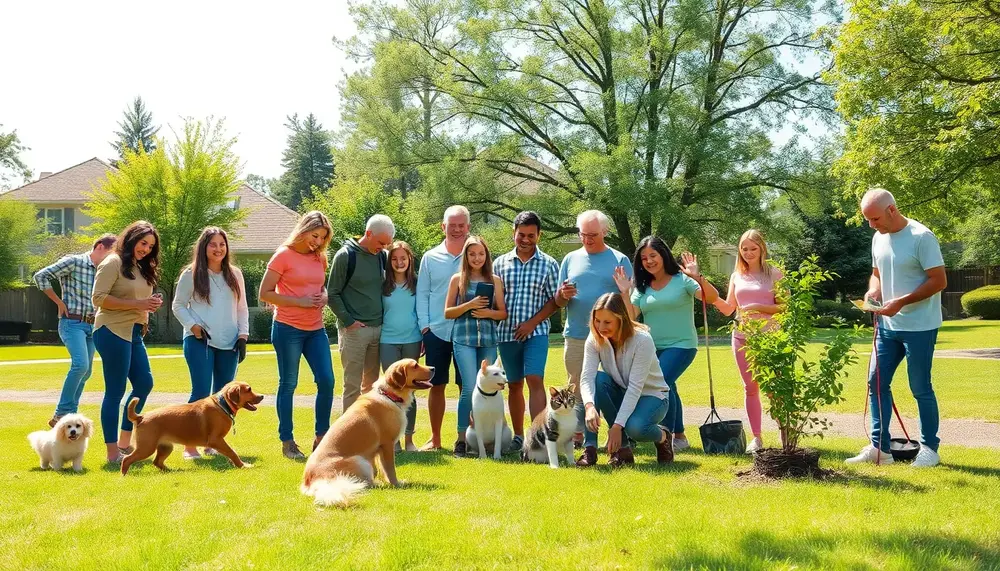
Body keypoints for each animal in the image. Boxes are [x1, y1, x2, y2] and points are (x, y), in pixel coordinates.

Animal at [120, 382, 266, 476]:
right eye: (248, 389)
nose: (262, 396)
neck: (223, 404)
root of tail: (141, 416)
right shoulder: (216, 440)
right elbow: (232, 452)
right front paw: (242, 465)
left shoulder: (219, 442)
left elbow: (230, 453)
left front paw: (236, 464)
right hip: (146, 448)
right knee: (127, 459)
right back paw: (124, 475)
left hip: (166, 447)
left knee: (157, 462)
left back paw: (170, 471)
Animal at [300, 360, 434, 508]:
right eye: (415, 366)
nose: (433, 368)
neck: (389, 395)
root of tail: (311, 483)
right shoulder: (387, 445)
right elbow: (390, 469)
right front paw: (397, 484)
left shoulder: (376, 452)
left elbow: (381, 470)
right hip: (360, 461)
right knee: (365, 484)